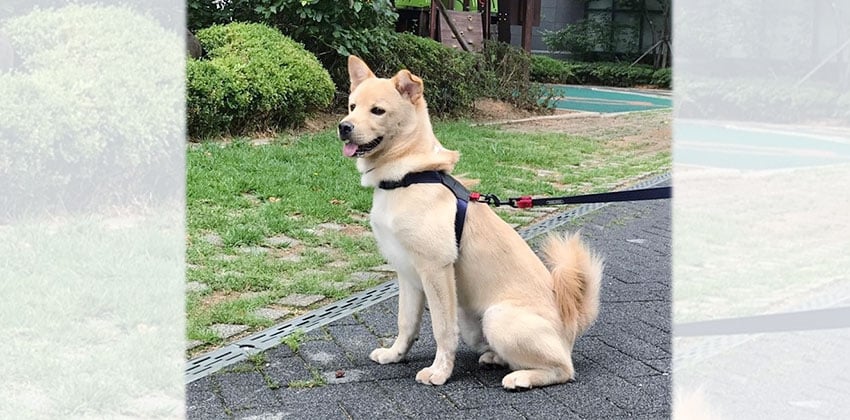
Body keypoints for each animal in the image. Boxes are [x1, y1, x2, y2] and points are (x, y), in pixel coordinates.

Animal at [338, 55, 604, 390]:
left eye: (377, 110)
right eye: (352, 106)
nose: (343, 127)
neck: (407, 176)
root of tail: (571, 326)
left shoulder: (436, 270)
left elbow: (441, 329)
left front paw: (439, 371)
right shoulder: (408, 274)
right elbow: (406, 323)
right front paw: (395, 354)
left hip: (497, 317)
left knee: (563, 369)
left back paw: (521, 377)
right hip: (473, 321)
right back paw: (495, 358)